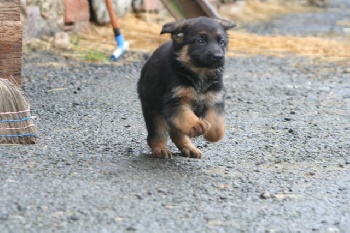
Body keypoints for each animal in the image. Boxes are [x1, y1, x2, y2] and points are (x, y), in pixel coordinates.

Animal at [137, 16, 235, 158]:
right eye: (200, 41)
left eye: (221, 42)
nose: (218, 57)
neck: (199, 73)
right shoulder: (175, 101)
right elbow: (185, 115)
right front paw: (196, 125)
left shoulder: (215, 100)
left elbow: (217, 127)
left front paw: (211, 135)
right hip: (153, 108)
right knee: (157, 133)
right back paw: (160, 149)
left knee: (176, 132)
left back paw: (189, 147)